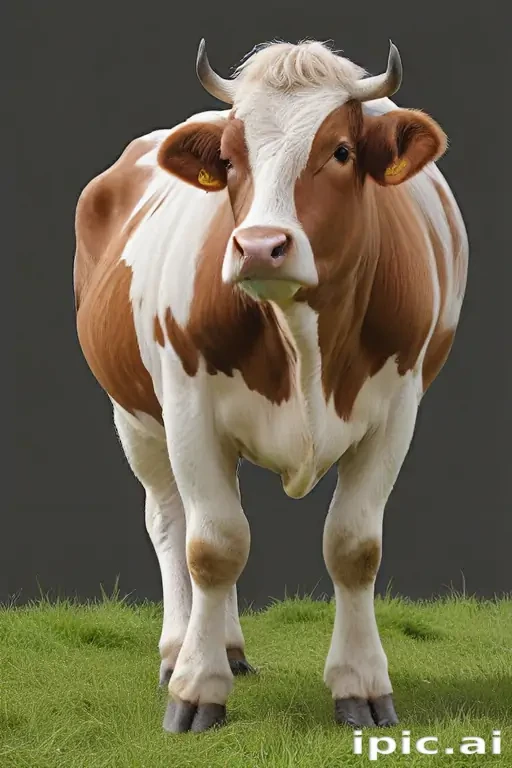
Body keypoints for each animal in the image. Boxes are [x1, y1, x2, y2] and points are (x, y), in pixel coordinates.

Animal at [74, 38, 468, 733]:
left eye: (341, 151)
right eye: (231, 160)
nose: (259, 246)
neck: (300, 338)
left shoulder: (398, 410)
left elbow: (354, 547)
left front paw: (361, 686)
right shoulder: (187, 405)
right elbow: (213, 546)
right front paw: (195, 691)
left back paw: (229, 648)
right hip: (134, 415)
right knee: (172, 522)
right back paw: (179, 651)